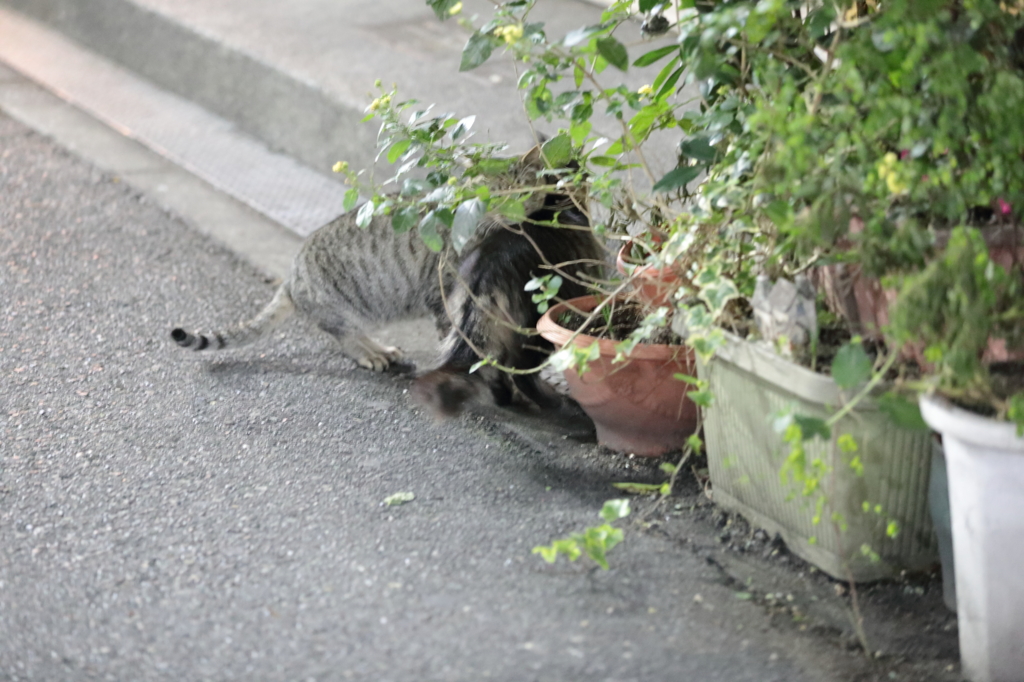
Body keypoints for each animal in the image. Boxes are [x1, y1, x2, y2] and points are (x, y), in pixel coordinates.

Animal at [171, 147, 602, 413]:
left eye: (525, 192)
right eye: (495, 195)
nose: (512, 213)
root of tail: (293, 276)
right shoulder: (444, 293)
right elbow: (460, 341)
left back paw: (383, 349)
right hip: (341, 307)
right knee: (343, 335)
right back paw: (371, 354)